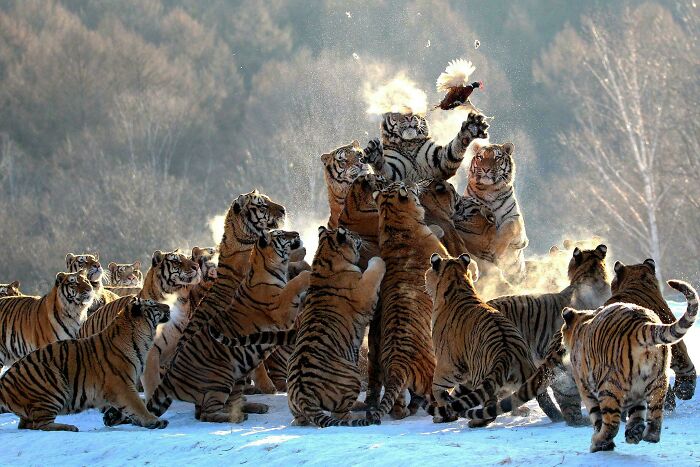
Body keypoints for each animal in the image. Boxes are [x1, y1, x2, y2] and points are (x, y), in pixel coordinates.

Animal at [0, 298, 171, 432]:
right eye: (154, 305)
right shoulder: (122, 385)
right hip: (52, 383)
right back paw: (69, 427)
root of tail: (4, 382)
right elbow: (138, 406)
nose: (168, 307)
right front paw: (154, 421)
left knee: (26, 424)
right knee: (40, 424)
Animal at [366, 182, 457, 424]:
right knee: (436, 397)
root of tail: (397, 365)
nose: (415, 183)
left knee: (397, 409)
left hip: (394, 383)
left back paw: (405, 411)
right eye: (403, 185)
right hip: (433, 373)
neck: (392, 222)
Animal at [425, 253, 544, 426]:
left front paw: (444, 414)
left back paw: (476, 422)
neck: (458, 282)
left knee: (490, 409)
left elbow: (438, 389)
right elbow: (458, 393)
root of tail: (505, 353)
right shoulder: (466, 371)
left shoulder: (448, 365)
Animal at [462, 141, 528, 282]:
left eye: (497, 157)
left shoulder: (519, 231)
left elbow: (509, 225)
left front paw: (495, 251)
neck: (489, 190)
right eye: (480, 157)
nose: (486, 169)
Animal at [560, 280, 697, 452]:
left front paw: (606, 444)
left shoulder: (584, 387)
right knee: (655, 417)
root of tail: (642, 324)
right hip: (659, 382)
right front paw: (633, 432)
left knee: (611, 424)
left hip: (609, 386)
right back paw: (647, 435)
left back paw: (597, 442)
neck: (584, 321)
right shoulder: (637, 394)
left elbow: (597, 417)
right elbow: (637, 413)